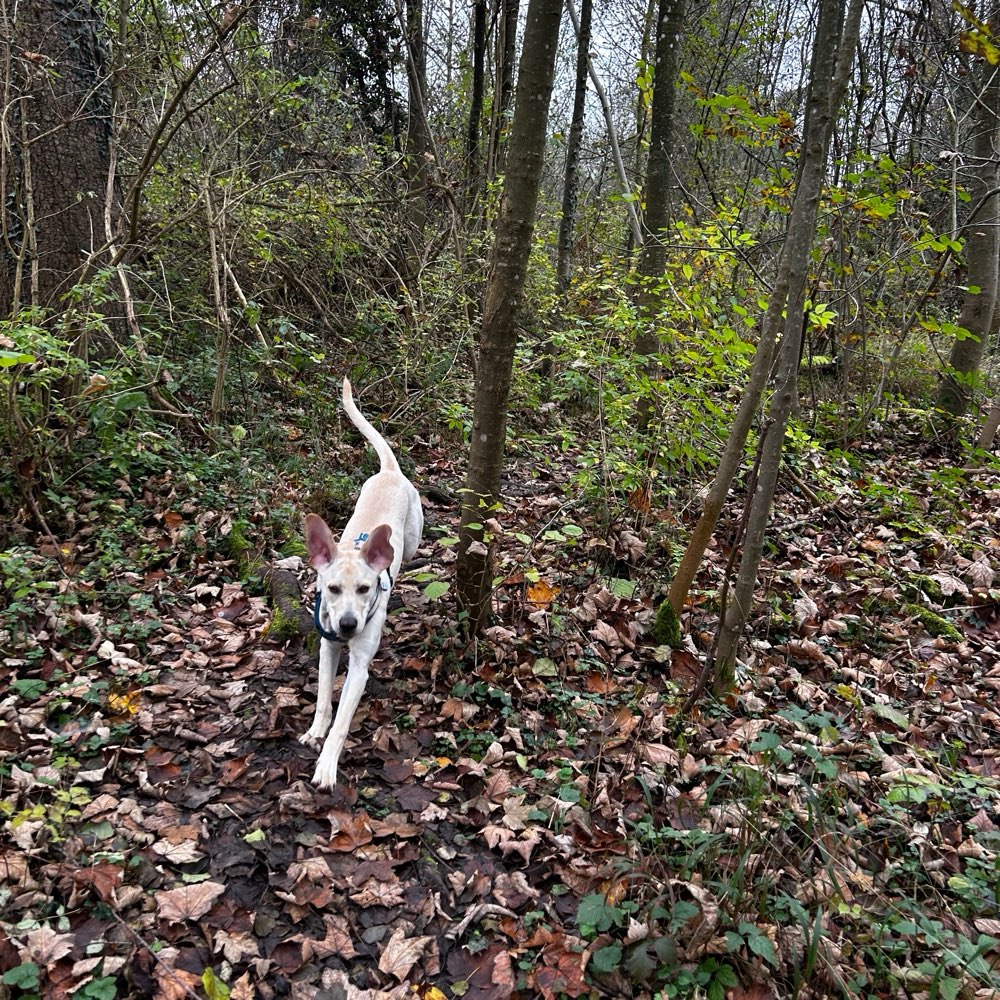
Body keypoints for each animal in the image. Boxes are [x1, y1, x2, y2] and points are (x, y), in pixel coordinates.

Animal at [298, 376, 420, 788]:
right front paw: (315, 731)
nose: (349, 624)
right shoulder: (327, 646)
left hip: (412, 538)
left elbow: (341, 723)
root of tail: (390, 471)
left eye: (365, 590)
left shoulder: (360, 668)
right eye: (331, 589)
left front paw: (326, 766)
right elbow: (323, 699)